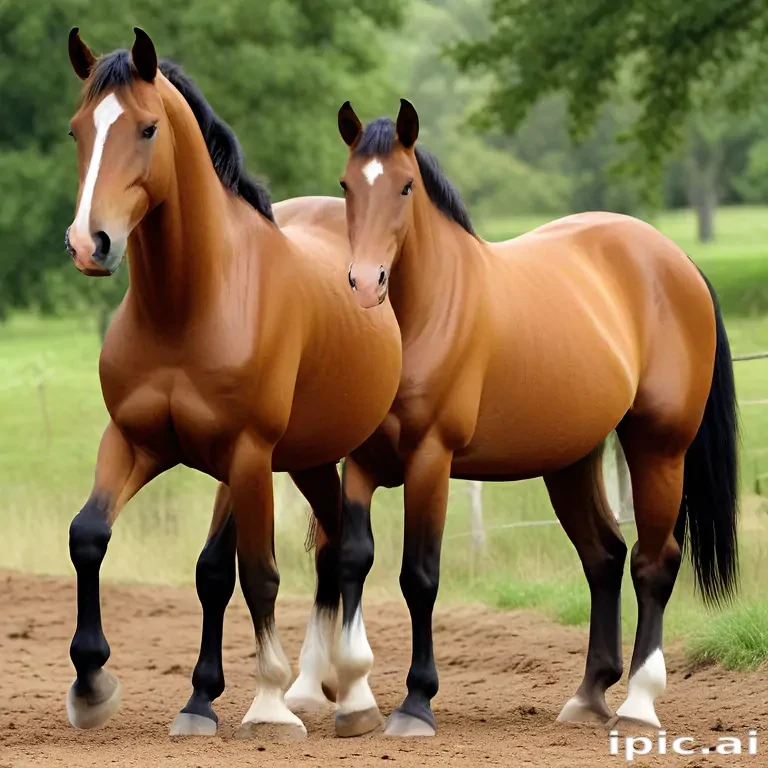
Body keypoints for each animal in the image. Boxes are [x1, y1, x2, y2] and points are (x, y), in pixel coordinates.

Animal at [62, 27, 402, 739]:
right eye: (78, 129)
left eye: (147, 128)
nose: (89, 243)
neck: (189, 304)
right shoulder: (134, 442)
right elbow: (91, 537)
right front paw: (95, 685)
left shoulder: (244, 453)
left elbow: (257, 574)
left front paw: (266, 706)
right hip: (304, 460)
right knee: (327, 547)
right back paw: (318, 686)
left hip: (339, 453)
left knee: (349, 550)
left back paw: (350, 695)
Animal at [287, 98, 739, 737]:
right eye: (347, 185)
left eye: (405, 186)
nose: (365, 282)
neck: (427, 315)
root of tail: (679, 263)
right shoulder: (362, 463)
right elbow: (352, 558)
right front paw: (352, 700)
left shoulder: (431, 460)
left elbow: (419, 575)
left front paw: (415, 703)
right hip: (570, 461)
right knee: (604, 556)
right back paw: (588, 696)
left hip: (659, 448)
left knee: (654, 563)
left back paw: (638, 705)